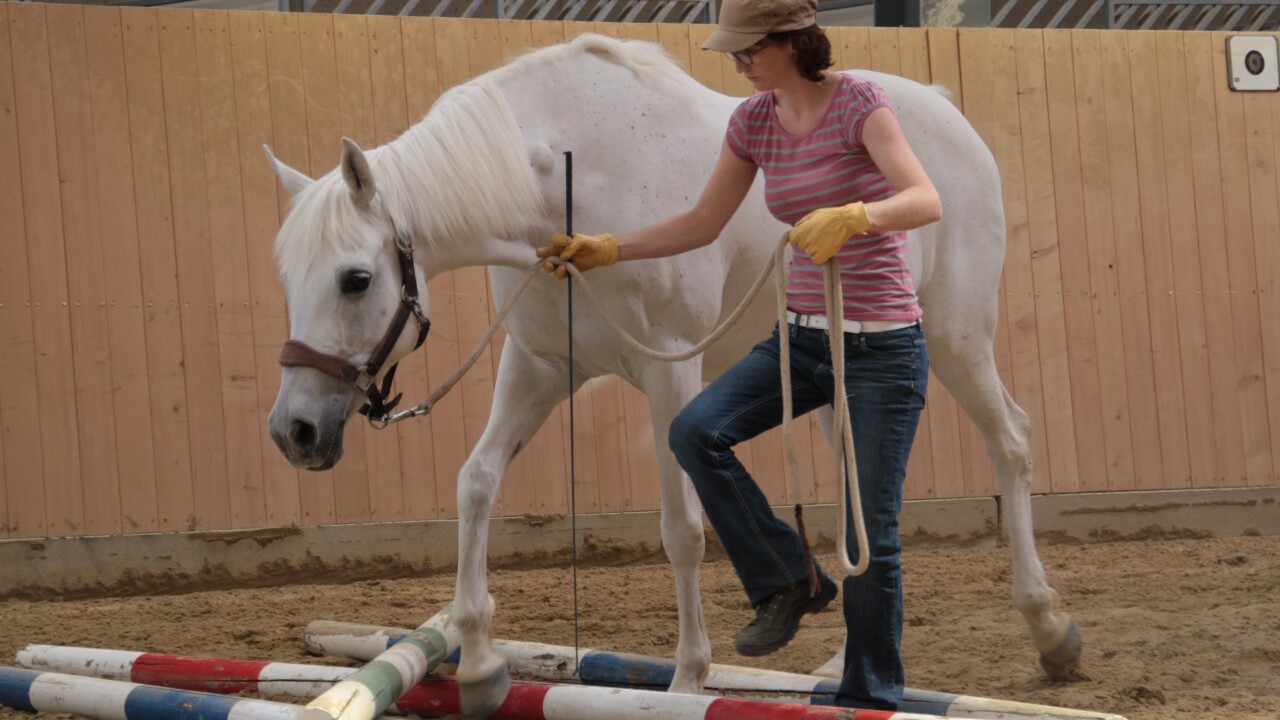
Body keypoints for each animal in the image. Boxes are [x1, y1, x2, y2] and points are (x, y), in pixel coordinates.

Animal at [267, 32, 1080, 712]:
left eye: (355, 279)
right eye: (288, 277)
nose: (293, 432)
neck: (566, 178)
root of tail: (946, 112)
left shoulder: (672, 376)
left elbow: (682, 529)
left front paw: (689, 677)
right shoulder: (539, 369)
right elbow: (475, 483)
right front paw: (478, 660)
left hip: (956, 336)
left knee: (1011, 440)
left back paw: (1048, 630)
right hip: (835, 385)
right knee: (865, 502)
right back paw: (838, 668)